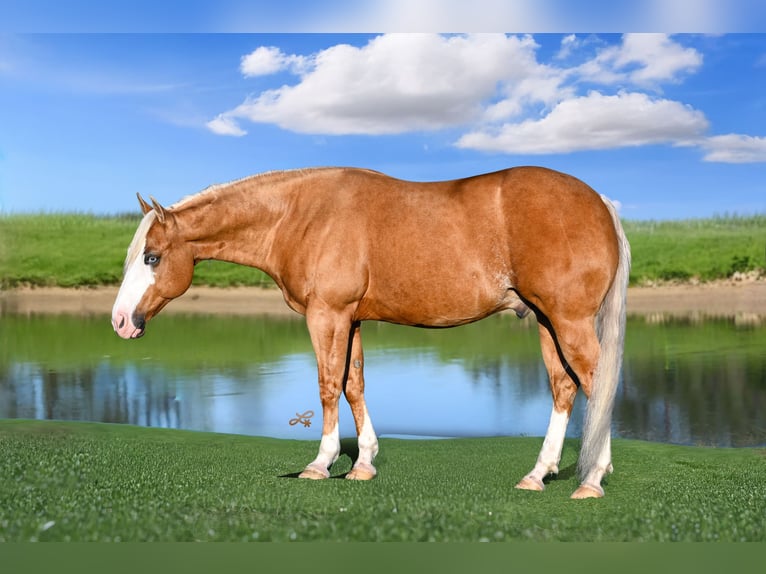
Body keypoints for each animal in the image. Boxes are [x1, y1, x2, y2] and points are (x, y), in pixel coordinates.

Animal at [111, 166, 630, 499]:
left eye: (152, 256)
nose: (120, 321)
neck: (301, 214)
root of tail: (600, 202)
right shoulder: (351, 318)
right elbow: (353, 384)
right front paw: (363, 464)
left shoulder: (327, 315)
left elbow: (327, 385)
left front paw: (320, 465)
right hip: (546, 320)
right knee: (564, 387)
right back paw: (537, 475)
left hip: (569, 320)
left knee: (596, 383)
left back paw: (591, 480)